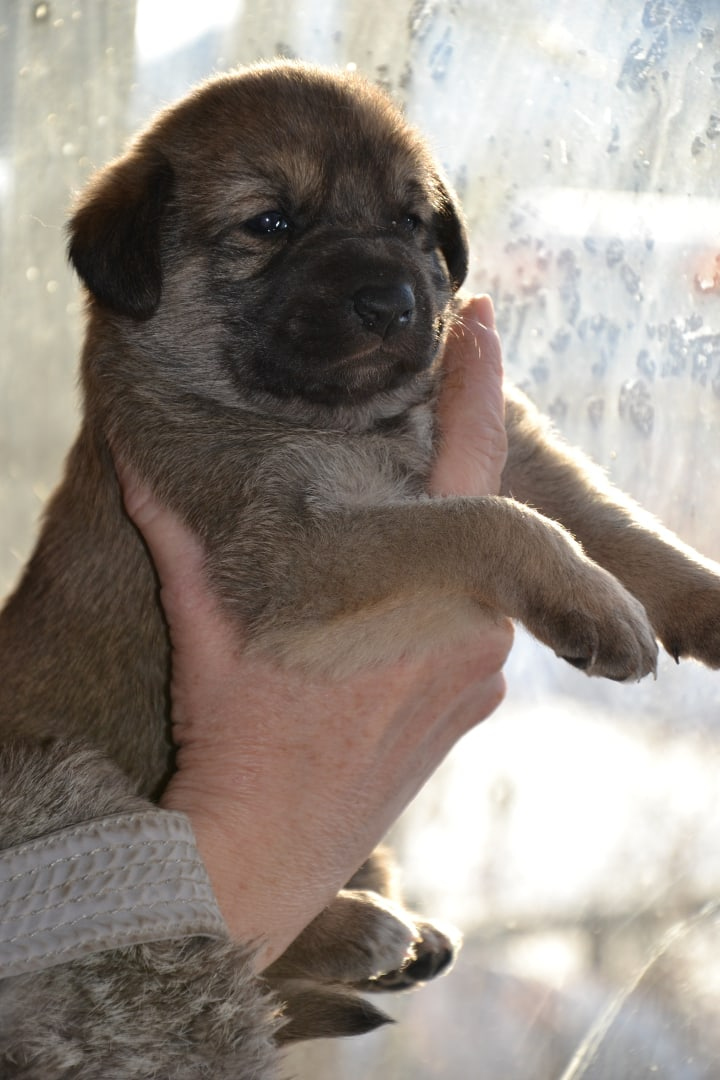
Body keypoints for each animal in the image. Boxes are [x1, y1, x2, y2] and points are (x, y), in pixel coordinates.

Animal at [1, 63, 720, 1075]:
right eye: (270, 223)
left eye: (412, 223)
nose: (394, 304)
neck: (351, 422)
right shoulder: (292, 550)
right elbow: (486, 523)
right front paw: (593, 605)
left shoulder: (521, 449)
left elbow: (620, 526)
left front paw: (696, 598)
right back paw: (357, 930)